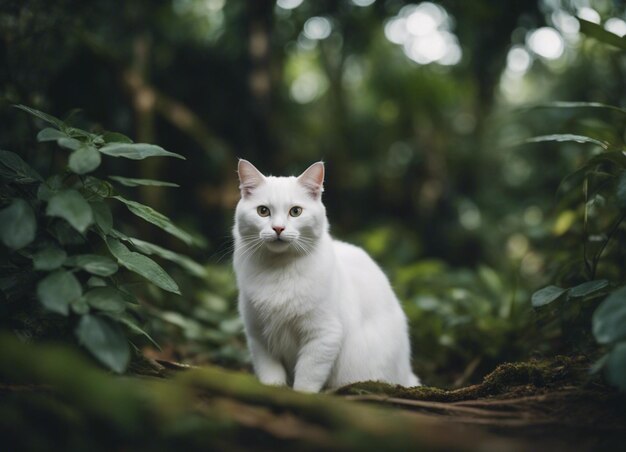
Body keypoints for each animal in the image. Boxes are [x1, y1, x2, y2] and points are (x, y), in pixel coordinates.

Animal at [232, 160, 416, 392]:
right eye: (263, 211)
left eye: (295, 211)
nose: (278, 228)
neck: (278, 270)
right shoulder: (258, 337)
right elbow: (270, 375)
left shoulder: (323, 335)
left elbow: (306, 380)